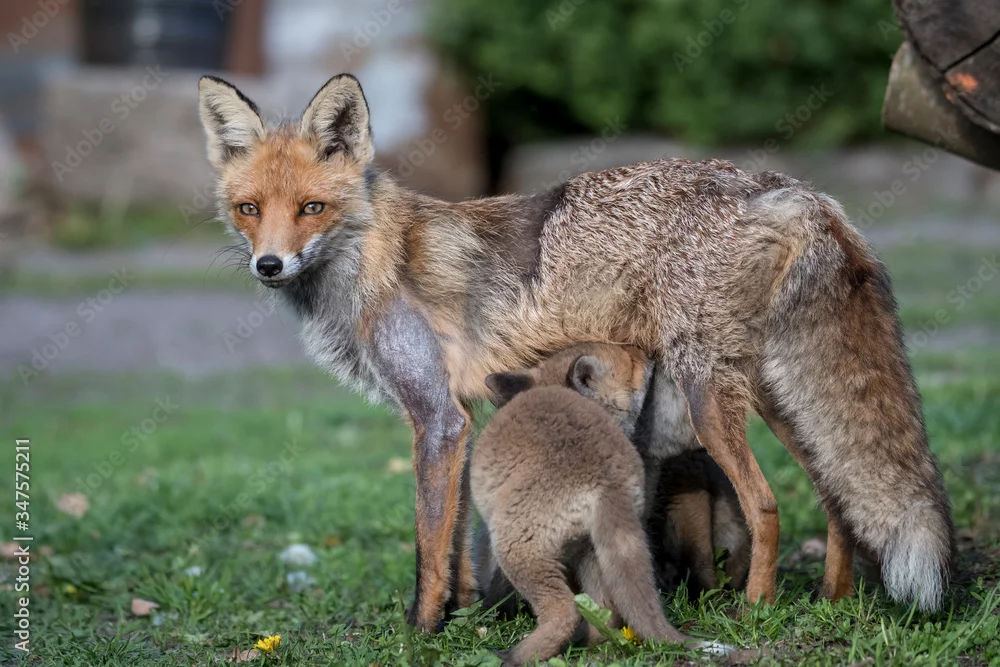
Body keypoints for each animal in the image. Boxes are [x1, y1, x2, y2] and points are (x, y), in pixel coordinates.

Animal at [196, 73, 954, 629]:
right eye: (249, 209)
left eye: (312, 209)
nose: (269, 265)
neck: (375, 261)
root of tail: (786, 187)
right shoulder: (460, 419)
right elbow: (460, 539)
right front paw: (467, 618)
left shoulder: (436, 416)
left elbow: (428, 545)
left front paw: (421, 631)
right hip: (770, 394)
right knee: (837, 498)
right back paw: (832, 601)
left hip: (707, 393)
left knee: (768, 503)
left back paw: (755, 611)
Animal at [471, 343, 717, 664]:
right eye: (632, 359)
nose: (647, 350)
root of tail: (605, 479)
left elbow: (498, 588)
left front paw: (488, 613)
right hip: (593, 552)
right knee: (606, 613)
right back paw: (578, 644)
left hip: (517, 545)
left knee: (565, 611)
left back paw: (515, 655)